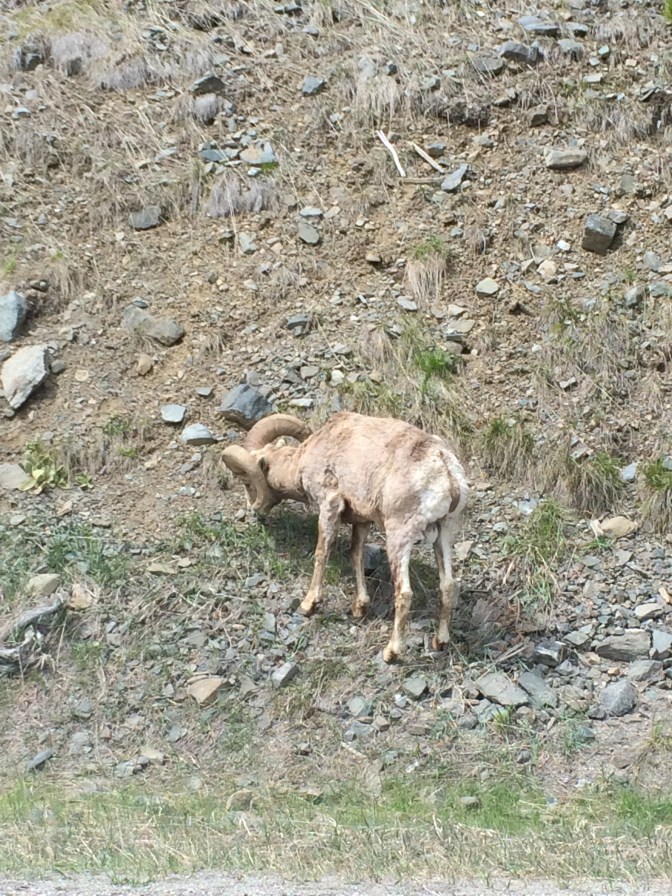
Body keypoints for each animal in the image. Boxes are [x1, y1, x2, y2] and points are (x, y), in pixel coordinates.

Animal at [221, 410, 469, 663]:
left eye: (247, 481)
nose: (255, 511)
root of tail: (446, 472)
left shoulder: (329, 506)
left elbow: (322, 552)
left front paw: (308, 605)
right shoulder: (361, 521)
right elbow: (355, 556)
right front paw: (359, 607)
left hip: (399, 536)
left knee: (404, 593)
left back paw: (391, 652)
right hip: (444, 533)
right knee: (448, 586)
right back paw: (440, 642)